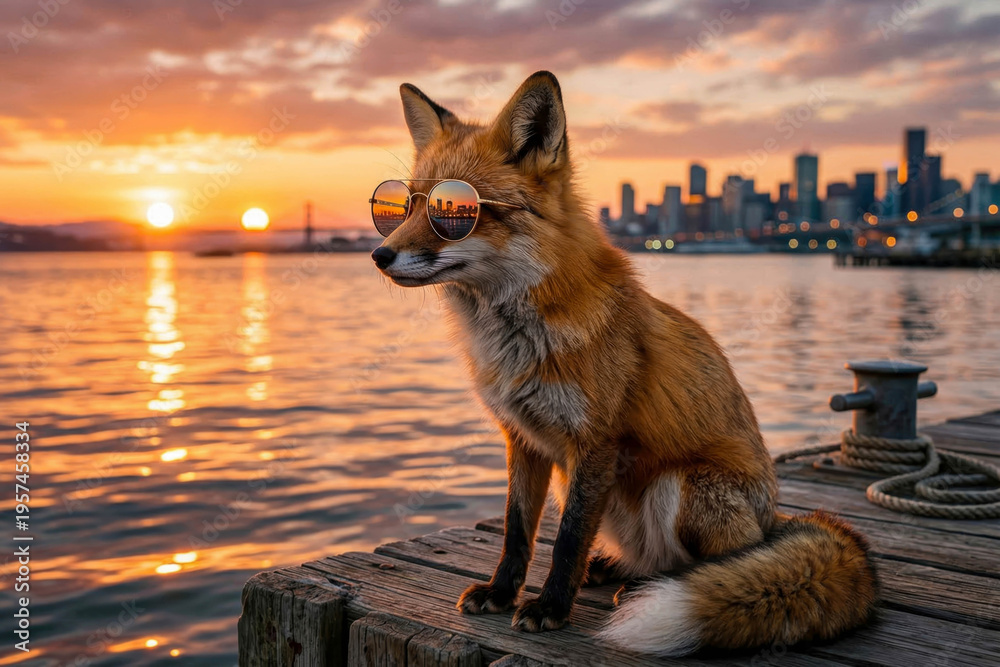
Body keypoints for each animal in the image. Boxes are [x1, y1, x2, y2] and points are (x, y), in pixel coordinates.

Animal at [371, 70, 878, 657]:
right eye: (401, 207)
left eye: (452, 212)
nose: (378, 255)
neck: (519, 337)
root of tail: (774, 518)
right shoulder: (522, 439)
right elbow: (517, 531)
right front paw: (501, 592)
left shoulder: (595, 441)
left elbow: (567, 538)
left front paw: (550, 607)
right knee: (645, 554)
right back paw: (617, 570)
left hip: (679, 487)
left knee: (711, 564)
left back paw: (665, 586)